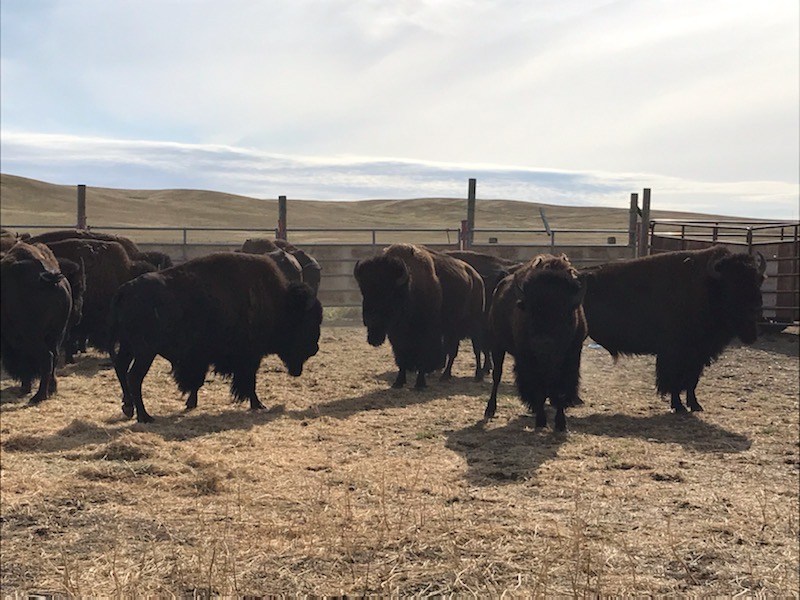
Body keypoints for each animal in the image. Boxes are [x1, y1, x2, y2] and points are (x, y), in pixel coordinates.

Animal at [1, 242, 72, 403]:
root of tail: (49, 279)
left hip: (33, 335)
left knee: (47, 357)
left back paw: (38, 396)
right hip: (58, 333)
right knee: (54, 356)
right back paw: (50, 389)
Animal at [108, 252, 322, 423]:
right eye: (308, 323)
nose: (314, 349)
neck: (279, 302)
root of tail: (125, 290)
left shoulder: (202, 359)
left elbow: (197, 381)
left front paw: (191, 403)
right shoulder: (250, 356)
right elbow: (249, 381)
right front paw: (258, 404)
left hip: (129, 346)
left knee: (121, 368)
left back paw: (128, 408)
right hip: (145, 351)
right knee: (134, 376)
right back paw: (144, 416)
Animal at [485, 254, 587, 431]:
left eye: (563, 314)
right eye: (530, 312)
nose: (542, 344)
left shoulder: (570, 358)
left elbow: (560, 389)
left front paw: (561, 423)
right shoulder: (530, 360)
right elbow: (538, 389)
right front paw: (541, 421)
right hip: (497, 346)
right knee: (497, 375)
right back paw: (490, 409)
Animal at [579, 246, 767, 413]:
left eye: (758, 280)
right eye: (733, 283)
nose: (756, 308)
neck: (708, 286)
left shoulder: (697, 355)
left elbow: (691, 381)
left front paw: (695, 405)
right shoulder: (675, 353)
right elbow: (674, 381)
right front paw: (678, 406)